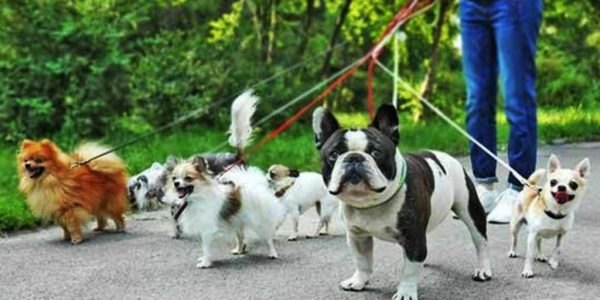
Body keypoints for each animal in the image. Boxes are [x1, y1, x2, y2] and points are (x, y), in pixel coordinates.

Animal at [314, 103, 492, 300]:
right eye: (333, 154)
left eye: (376, 153)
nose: (354, 157)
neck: (370, 203)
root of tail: (445, 156)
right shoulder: (357, 236)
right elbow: (362, 261)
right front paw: (358, 281)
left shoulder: (413, 238)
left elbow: (409, 270)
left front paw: (405, 293)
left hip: (470, 209)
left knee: (481, 242)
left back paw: (483, 270)